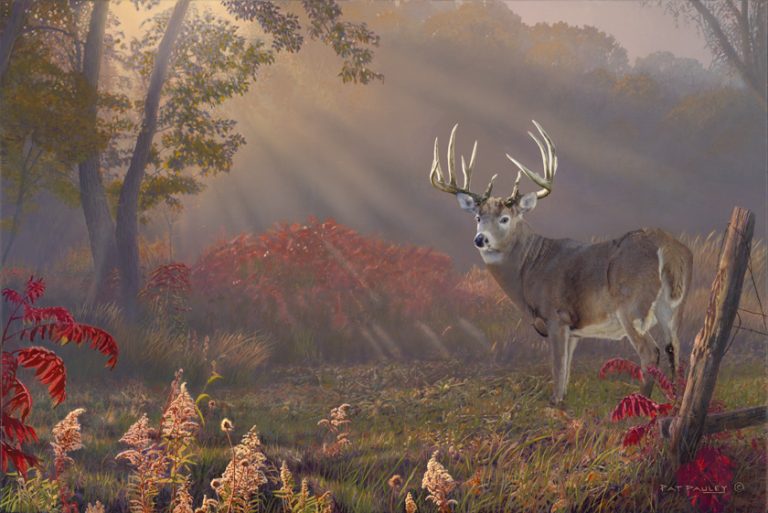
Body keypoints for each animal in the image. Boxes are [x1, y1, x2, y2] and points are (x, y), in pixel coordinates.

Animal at [429, 121, 692, 405]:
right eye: (478, 217)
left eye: (505, 218)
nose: (480, 239)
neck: (529, 268)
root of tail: (668, 248)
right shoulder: (575, 330)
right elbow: (566, 369)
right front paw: (562, 400)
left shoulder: (557, 315)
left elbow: (557, 366)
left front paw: (554, 402)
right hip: (675, 307)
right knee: (675, 349)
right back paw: (676, 402)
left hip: (632, 305)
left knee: (650, 352)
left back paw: (640, 404)